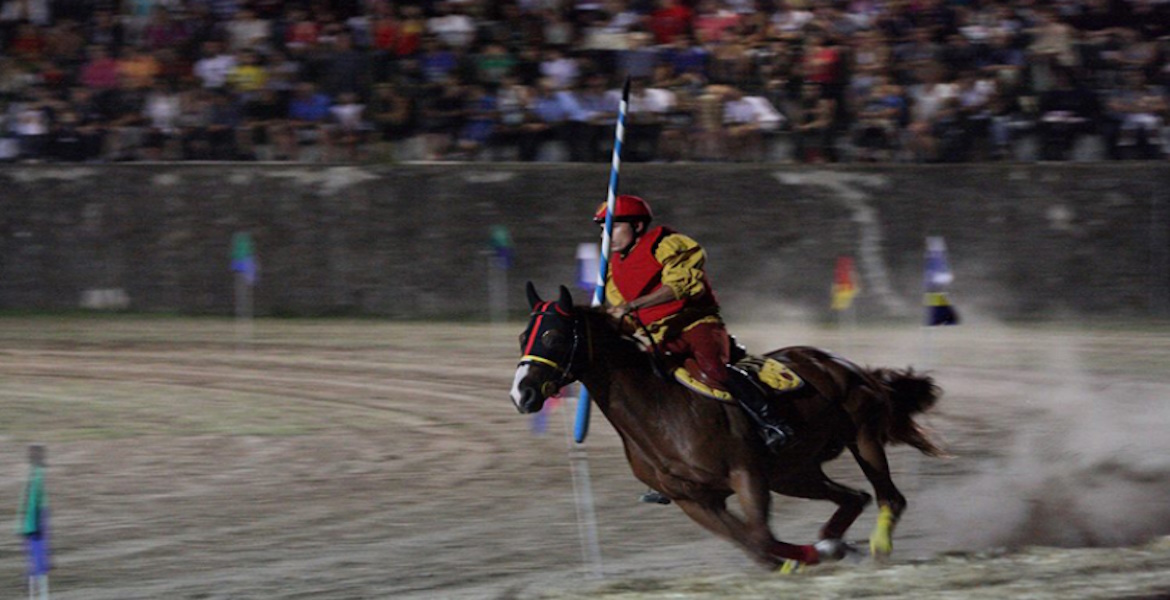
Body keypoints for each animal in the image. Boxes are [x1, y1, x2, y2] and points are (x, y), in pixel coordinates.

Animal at [507, 283, 945, 568]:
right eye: (524, 335)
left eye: (553, 335)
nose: (521, 393)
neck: (660, 412)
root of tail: (839, 363)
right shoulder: (695, 500)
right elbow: (754, 545)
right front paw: (816, 554)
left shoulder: (746, 475)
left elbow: (761, 537)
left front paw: (817, 554)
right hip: (793, 474)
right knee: (855, 497)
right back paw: (836, 542)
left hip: (862, 438)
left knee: (889, 497)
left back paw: (873, 546)